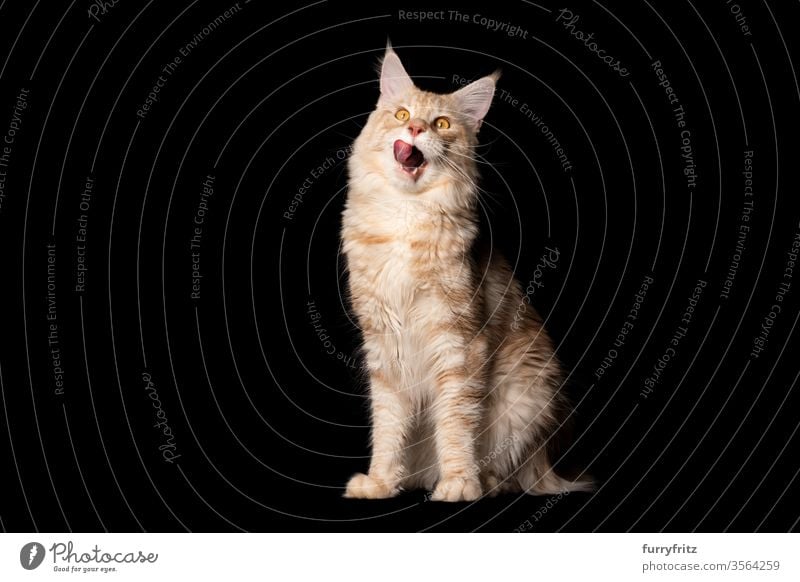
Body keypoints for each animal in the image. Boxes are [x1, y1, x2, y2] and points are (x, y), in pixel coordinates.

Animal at [340, 45, 592, 502]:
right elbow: (387, 427)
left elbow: (456, 421)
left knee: (506, 470)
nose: (416, 128)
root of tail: (543, 459)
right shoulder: (383, 345)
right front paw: (381, 482)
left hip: (523, 397)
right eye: (402, 115)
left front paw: (458, 482)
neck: (406, 218)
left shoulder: (458, 340)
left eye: (441, 124)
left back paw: (483, 482)